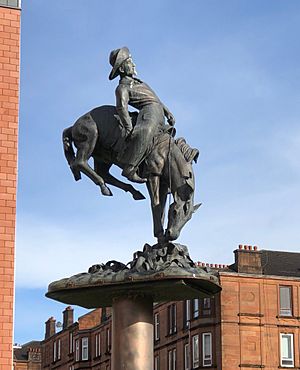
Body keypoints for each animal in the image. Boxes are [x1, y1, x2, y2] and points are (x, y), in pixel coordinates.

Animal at [62, 104, 200, 243]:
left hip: (104, 156)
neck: (167, 153)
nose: (172, 235)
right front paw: (160, 234)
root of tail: (73, 126)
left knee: (103, 174)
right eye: (175, 212)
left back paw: (130, 191)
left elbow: (162, 206)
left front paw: (162, 239)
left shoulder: (164, 184)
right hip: (91, 138)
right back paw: (104, 186)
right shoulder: (152, 175)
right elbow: (155, 203)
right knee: (80, 163)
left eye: (188, 219)